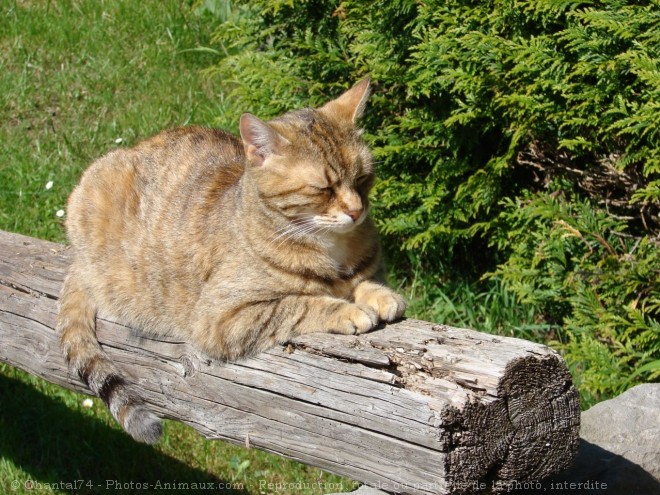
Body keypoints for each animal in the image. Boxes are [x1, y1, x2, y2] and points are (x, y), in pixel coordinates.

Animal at [56, 78, 404, 446]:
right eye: (323, 188)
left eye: (363, 178)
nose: (356, 211)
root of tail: (79, 259)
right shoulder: (221, 319)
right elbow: (300, 303)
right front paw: (348, 310)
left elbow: (364, 280)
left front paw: (381, 294)